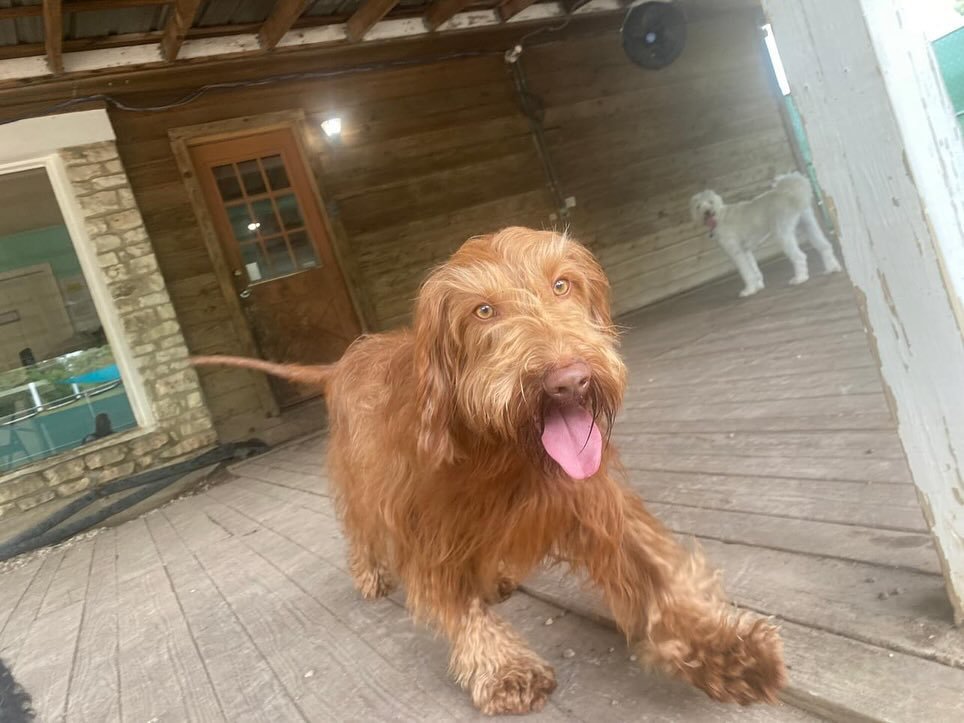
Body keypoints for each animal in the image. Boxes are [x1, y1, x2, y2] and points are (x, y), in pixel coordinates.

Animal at [192, 229, 788, 716]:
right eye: (483, 311)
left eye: (562, 285)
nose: (568, 381)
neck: (500, 450)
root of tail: (342, 362)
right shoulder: (423, 526)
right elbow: (456, 605)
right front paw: (503, 666)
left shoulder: (591, 504)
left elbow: (655, 571)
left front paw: (723, 648)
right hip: (358, 480)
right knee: (358, 527)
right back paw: (370, 572)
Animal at [688, 171, 840, 298]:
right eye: (698, 207)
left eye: (711, 202)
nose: (707, 212)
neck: (720, 217)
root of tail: (788, 191)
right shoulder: (746, 251)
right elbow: (754, 270)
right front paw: (758, 286)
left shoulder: (737, 253)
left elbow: (747, 273)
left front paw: (749, 290)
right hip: (809, 226)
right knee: (825, 247)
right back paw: (832, 268)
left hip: (782, 235)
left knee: (800, 257)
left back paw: (800, 278)